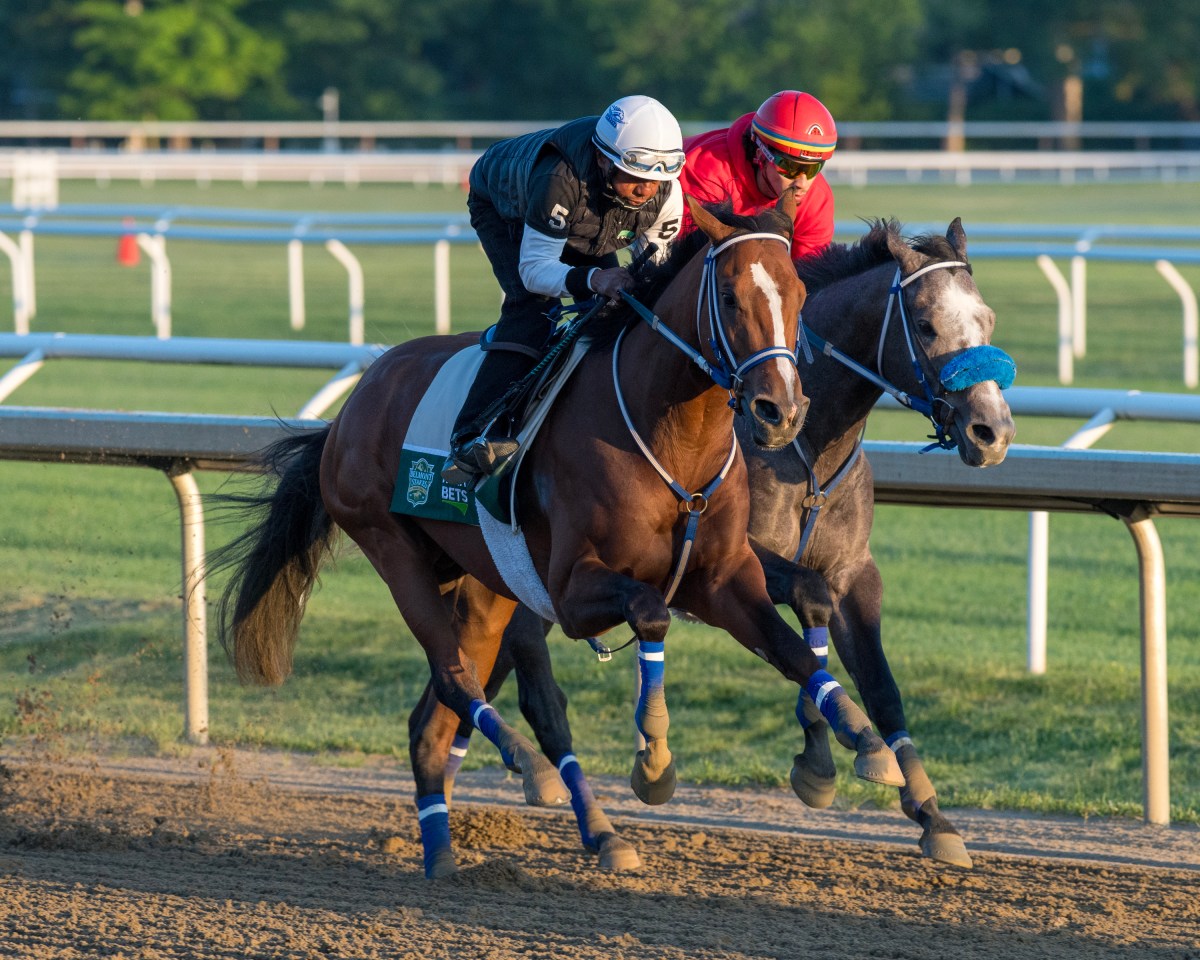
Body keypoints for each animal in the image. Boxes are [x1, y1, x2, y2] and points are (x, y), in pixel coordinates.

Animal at [220, 190, 902, 883]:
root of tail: (350, 408)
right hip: (392, 548)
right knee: (458, 682)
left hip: (481, 585)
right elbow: (650, 613)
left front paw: (866, 742)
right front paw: (654, 763)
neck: (675, 442)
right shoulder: (574, 592)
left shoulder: (721, 579)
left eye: (798, 295)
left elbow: (792, 650)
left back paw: (446, 850)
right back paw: (537, 775)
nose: (780, 412)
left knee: (431, 722)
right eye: (732, 298)